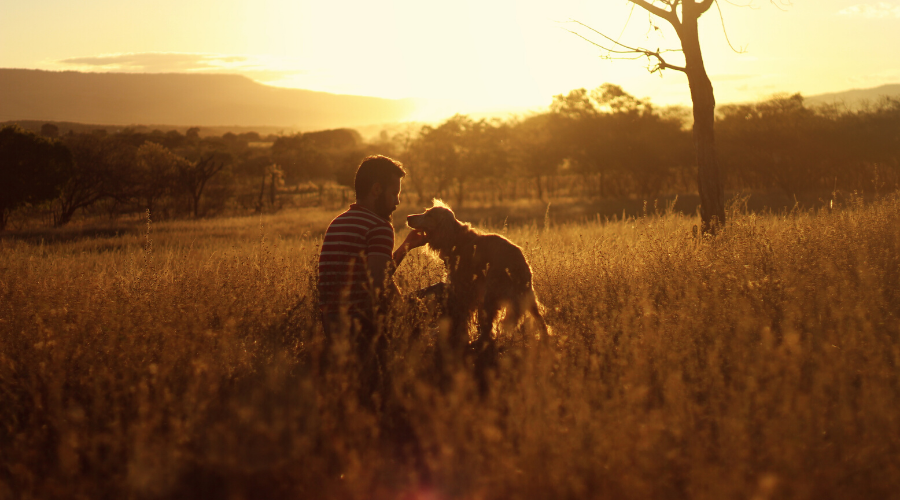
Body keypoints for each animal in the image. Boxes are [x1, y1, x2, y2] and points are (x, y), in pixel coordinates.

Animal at [406, 201, 548, 358]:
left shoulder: (464, 290)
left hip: (491, 296)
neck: (456, 239)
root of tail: (520, 262)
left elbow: (462, 317)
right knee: (540, 320)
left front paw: (459, 338)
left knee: (488, 328)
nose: (408, 217)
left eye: (429, 215)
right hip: (527, 296)